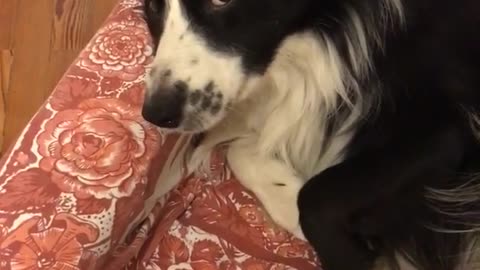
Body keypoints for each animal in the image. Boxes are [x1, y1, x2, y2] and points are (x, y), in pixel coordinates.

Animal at [141, 0, 480, 270]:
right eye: (154, 7)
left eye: (220, 0)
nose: (156, 113)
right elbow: (242, 152)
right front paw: (285, 195)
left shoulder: (444, 131)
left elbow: (316, 197)